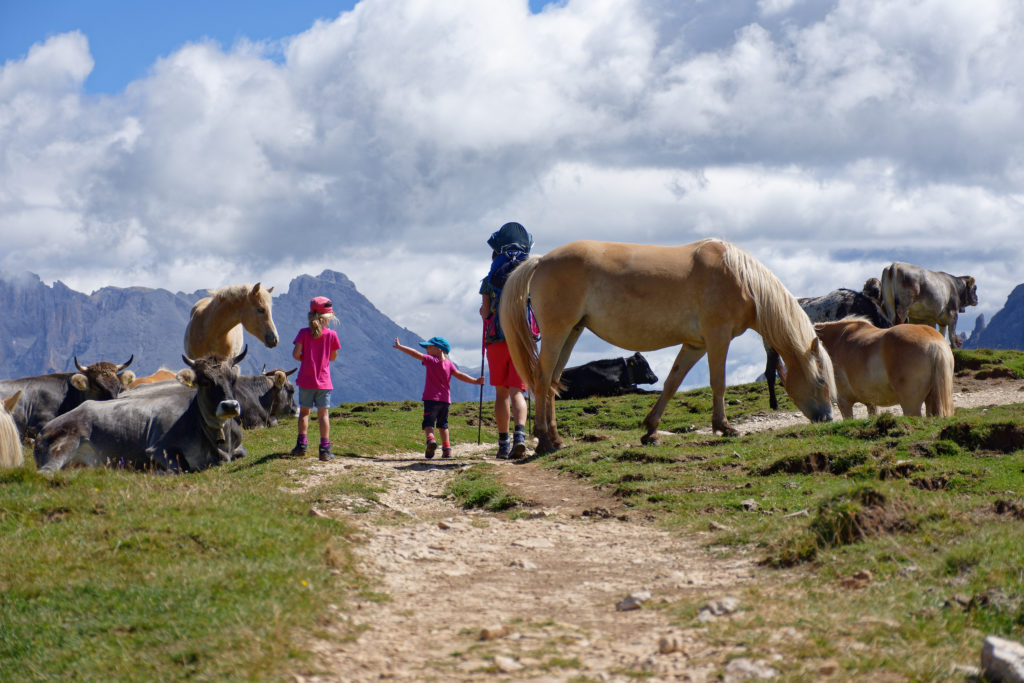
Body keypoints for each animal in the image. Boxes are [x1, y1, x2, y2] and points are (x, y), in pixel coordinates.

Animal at [33, 350, 246, 473]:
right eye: (205, 381)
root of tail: (43, 432)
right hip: (64, 445)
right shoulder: (158, 448)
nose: (230, 406)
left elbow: (242, 453)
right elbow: (184, 468)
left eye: (233, 379)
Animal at [499, 240, 835, 454]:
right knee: (542, 379)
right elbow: (718, 382)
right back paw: (544, 440)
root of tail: (541, 260)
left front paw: (650, 430)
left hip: (571, 332)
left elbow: (673, 382)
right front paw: (725, 427)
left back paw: (555, 440)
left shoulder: (695, 344)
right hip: (557, 333)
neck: (740, 278)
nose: (828, 420)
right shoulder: (718, 336)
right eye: (821, 380)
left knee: (553, 382)